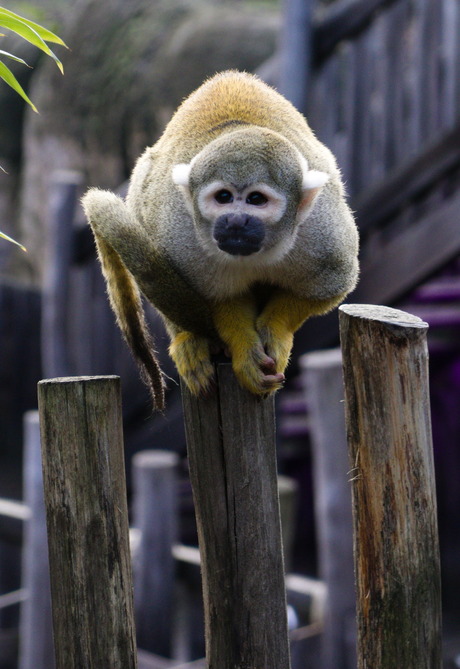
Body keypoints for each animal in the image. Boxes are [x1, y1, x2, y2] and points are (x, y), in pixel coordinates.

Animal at [82, 70, 360, 410]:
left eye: (256, 200)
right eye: (224, 197)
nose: (236, 221)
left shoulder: (323, 235)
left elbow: (330, 287)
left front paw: (277, 333)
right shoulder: (181, 239)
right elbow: (218, 299)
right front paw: (243, 349)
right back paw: (188, 340)